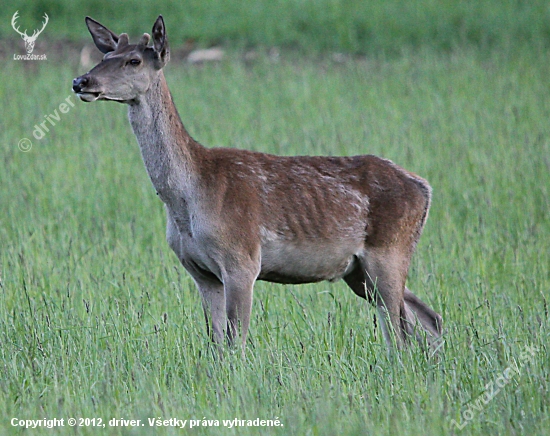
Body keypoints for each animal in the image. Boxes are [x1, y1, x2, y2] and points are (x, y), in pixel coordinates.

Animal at [72, 15, 444, 356]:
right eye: (105, 55)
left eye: (133, 60)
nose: (80, 80)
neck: (188, 197)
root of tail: (424, 188)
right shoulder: (200, 271)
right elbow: (216, 344)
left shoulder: (242, 258)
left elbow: (236, 342)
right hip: (358, 272)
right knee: (427, 317)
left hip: (390, 250)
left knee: (400, 331)